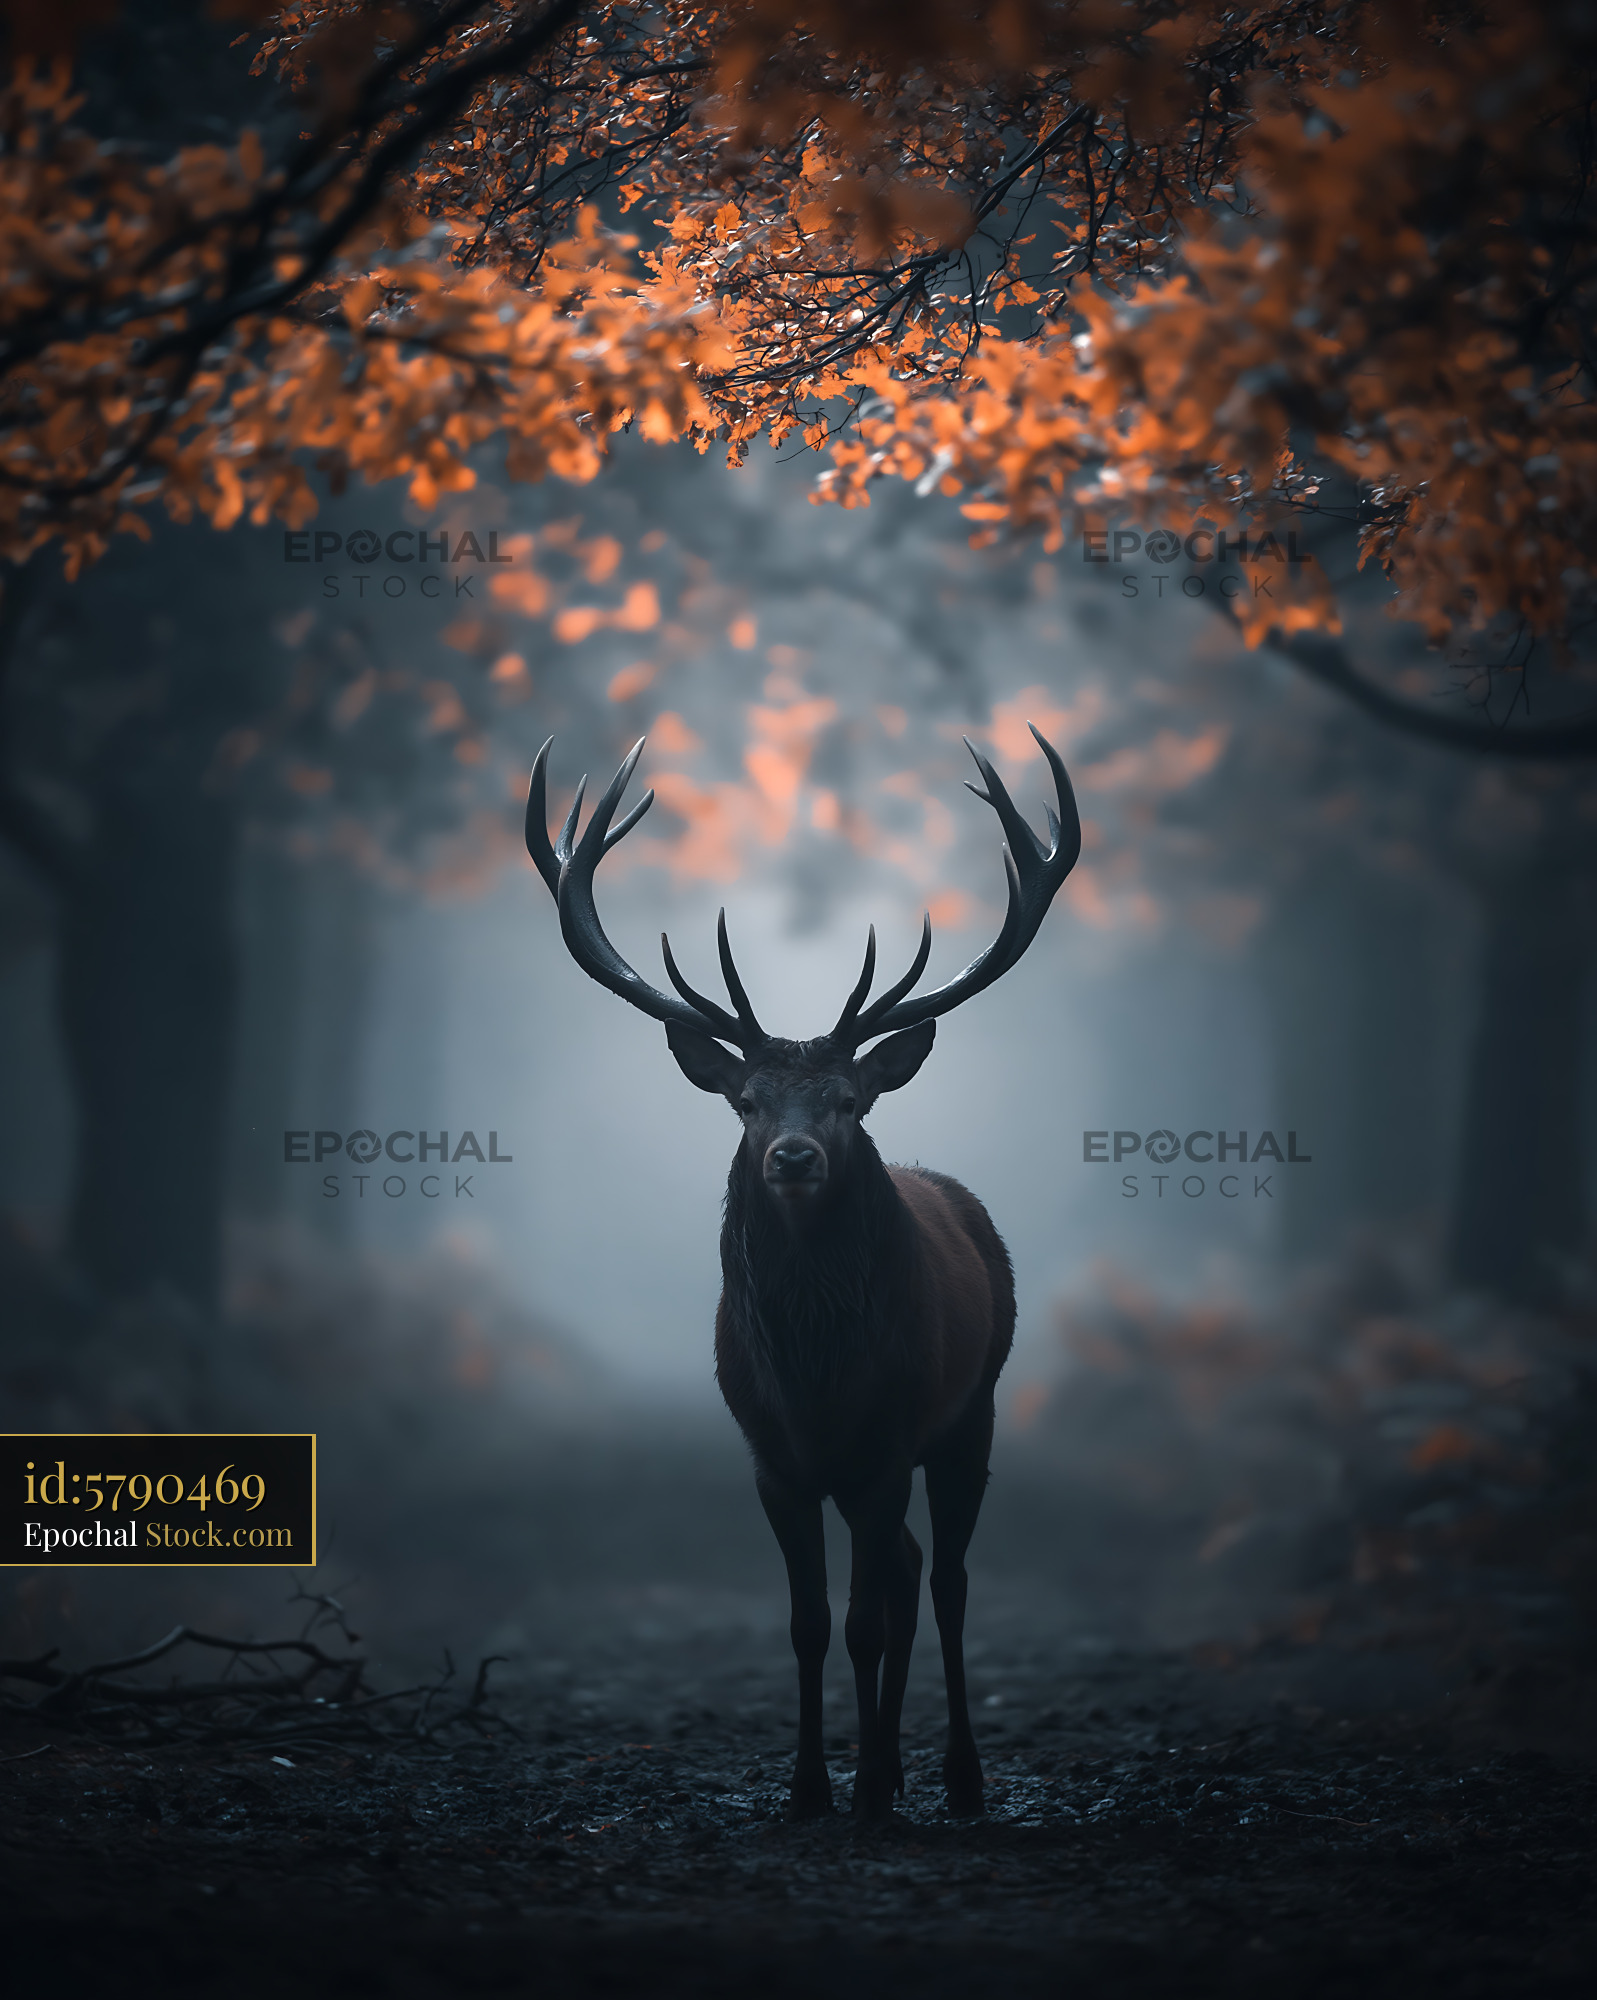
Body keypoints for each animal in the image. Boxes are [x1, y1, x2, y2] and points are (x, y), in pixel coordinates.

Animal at [525, 724, 1079, 1820]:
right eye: (744, 1099)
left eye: (849, 1100)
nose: (792, 1155)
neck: (817, 1376)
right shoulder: (773, 1460)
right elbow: (810, 1623)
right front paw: (811, 1786)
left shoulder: (883, 1446)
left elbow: (866, 1619)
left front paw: (861, 1791)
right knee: (907, 1570)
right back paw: (897, 1767)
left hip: (972, 1409)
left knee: (942, 1579)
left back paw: (954, 1778)